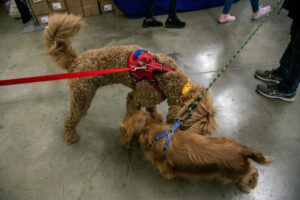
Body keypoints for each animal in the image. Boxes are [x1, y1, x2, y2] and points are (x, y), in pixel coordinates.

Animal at [44, 12, 218, 144]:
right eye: (197, 129)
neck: (169, 77)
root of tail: (76, 60)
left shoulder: (151, 96)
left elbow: (151, 108)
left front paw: (155, 116)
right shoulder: (135, 96)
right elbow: (133, 109)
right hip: (83, 96)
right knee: (71, 117)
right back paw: (70, 135)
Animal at [120, 110, 274, 193]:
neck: (150, 130)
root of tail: (241, 149)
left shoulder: (165, 166)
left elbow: (166, 172)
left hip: (237, 173)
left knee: (253, 172)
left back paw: (248, 185)